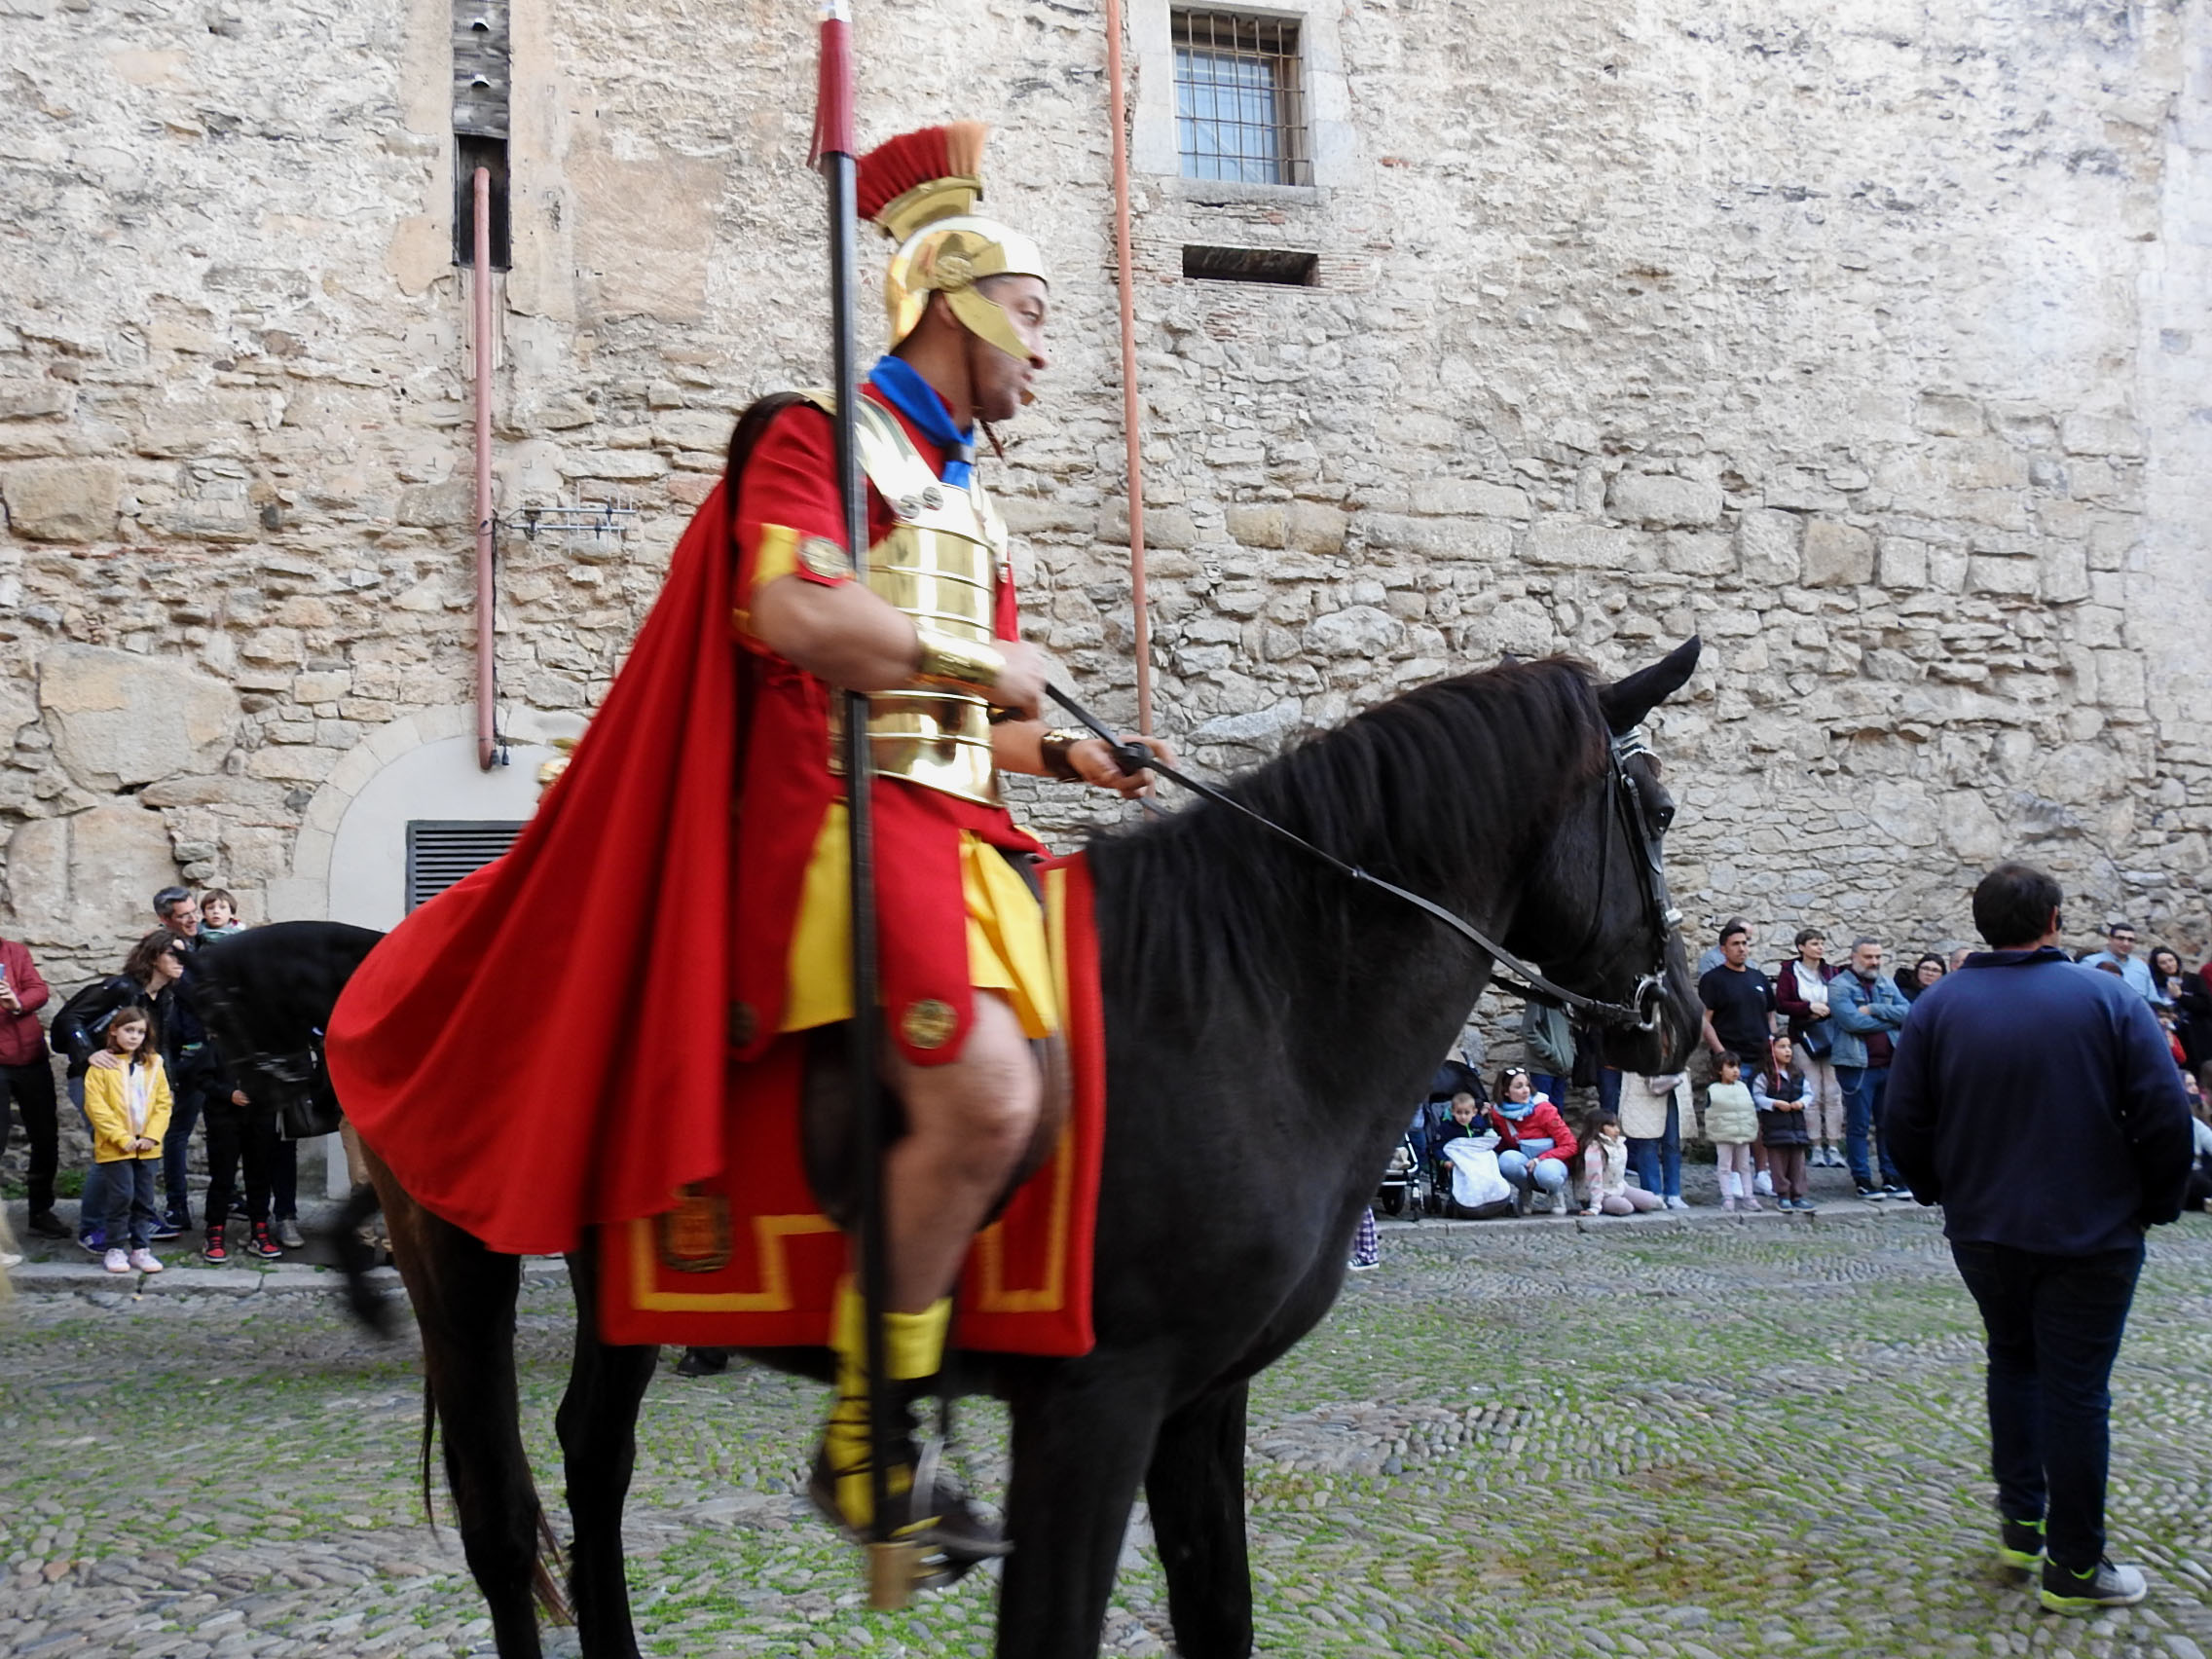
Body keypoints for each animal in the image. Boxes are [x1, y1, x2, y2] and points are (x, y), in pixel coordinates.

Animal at [196, 640, 1703, 1659]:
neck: (1243, 995)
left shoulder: (1200, 1402)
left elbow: (1219, 1615)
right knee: (506, 1522)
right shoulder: (1093, 1402)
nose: (1679, 1020)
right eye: (1663, 814)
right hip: (462, 1255)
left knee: (591, 1468)